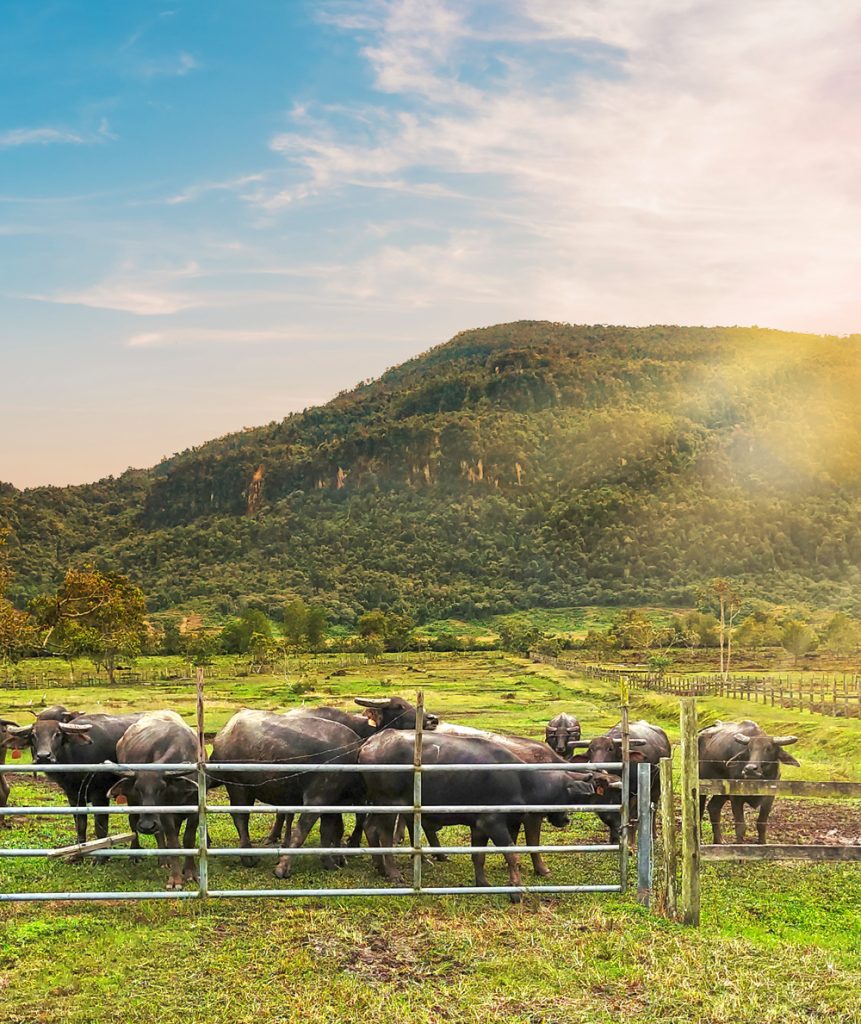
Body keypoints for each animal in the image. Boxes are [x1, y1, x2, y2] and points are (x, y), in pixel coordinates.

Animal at [2, 708, 143, 843]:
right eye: (33, 735)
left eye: (57, 734)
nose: (43, 756)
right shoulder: (73, 796)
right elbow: (80, 826)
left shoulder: (100, 795)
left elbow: (101, 830)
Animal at [106, 712, 199, 888]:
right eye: (138, 788)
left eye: (162, 788)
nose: (147, 826)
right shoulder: (164, 813)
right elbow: (173, 841)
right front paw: (175, 879)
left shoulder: (195, 808)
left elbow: (188, 839)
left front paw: (191, 873)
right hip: (134, 805)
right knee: (136, 822)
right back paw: (144, 856)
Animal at [211, 708, 366, 876]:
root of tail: (225, 731)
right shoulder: (316, 798)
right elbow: (301, 831)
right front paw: (282, 867)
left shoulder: (333, 804)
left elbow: (328, 831)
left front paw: (330, 862)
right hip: (237, 786)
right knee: (240, 817)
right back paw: (248, 856)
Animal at [356, 729, 606, 905]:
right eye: (570, 795)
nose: (566, 820)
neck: (522, 781)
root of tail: (372, 742)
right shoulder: (494, 823)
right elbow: (512, 856)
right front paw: (515, 890)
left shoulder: (479, 826)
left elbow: (479, 856)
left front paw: (482, 883)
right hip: (390, 804)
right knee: (385, 835)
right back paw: (393, 873)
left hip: (378, 803)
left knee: (369, 826)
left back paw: (379, 867)